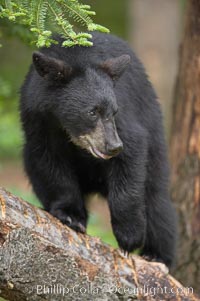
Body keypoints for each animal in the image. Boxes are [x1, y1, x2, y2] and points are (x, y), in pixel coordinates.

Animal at [20, 32, 177, 264]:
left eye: (113, 111)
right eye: (92, 112)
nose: (113, 146)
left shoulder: (125, 117)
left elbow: (132, 154)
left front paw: (129, 237)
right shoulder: (38, 119)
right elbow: (50, 163)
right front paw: (71, 215)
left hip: (156, 145)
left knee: (157, 203)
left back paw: (156, 255)